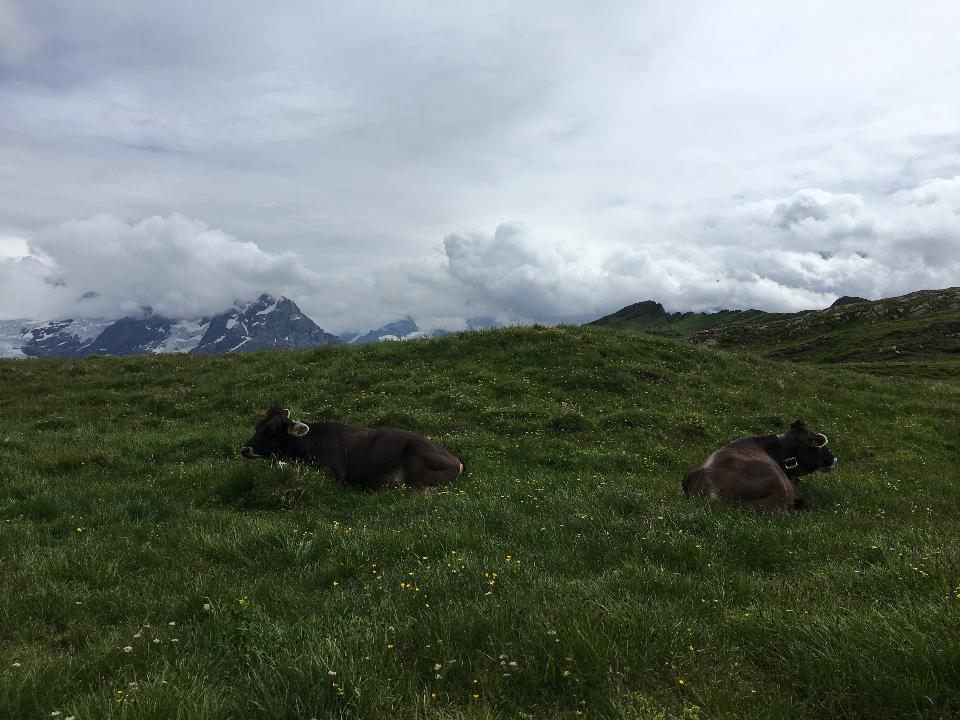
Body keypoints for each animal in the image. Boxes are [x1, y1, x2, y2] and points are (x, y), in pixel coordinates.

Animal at [240, 404, 464, 490]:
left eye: (271, 429)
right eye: (257, 426)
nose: (244, 450)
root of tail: (457, 461)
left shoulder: (334, 473)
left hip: (415, 464)